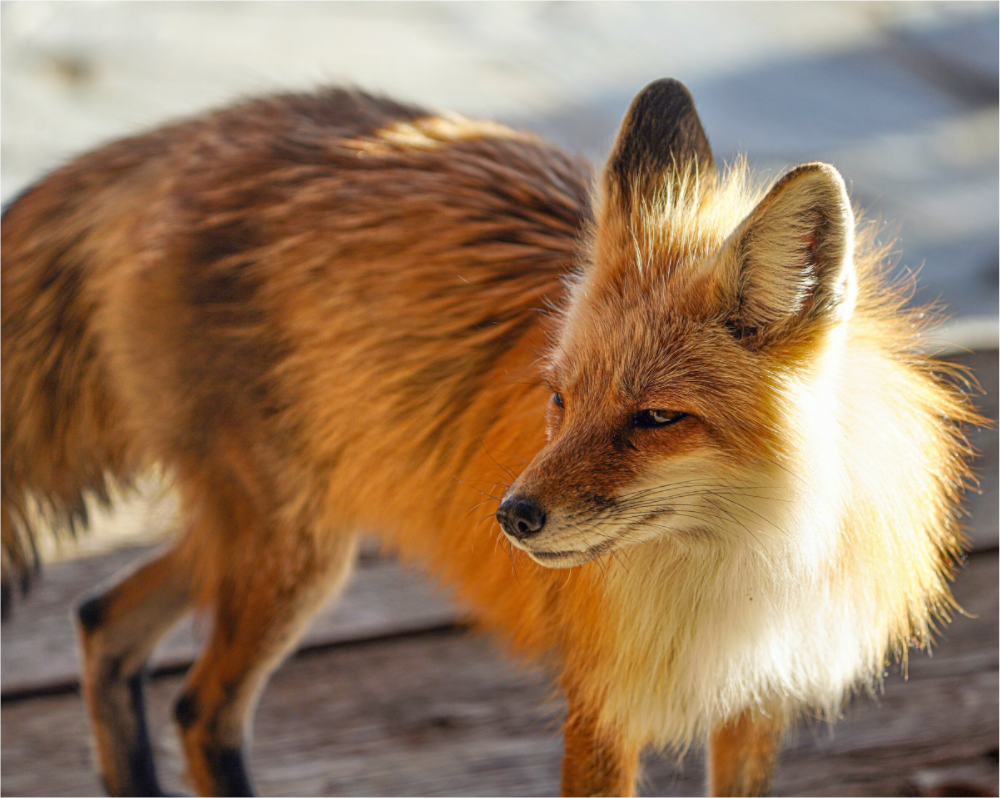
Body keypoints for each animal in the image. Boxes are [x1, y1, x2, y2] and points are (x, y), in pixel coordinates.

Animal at [0, 78, 977, 797]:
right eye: (560, 400)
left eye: (656, 418)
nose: (511, 518)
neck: (753, 566)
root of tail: (195, 130)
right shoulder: (602, 706)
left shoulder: (756, 703)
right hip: (291, 551)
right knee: (201, 708)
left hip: (273, 539)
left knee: (102, 620)